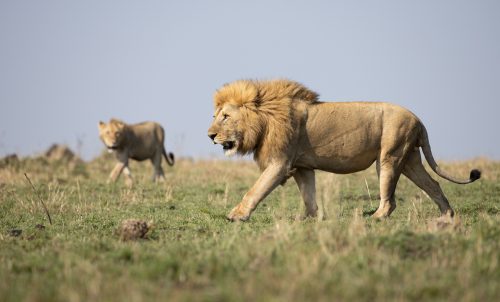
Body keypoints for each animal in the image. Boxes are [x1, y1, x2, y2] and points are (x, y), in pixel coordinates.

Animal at [207, 79, 480, 222]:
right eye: (216, 116)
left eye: (226, 117)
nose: (210, 136)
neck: (265, 118)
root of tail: (418, 118)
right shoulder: (302, 166)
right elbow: (308, 195)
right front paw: (311, 218)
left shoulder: (280, 163)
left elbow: (255, 190)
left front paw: (237, 215)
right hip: (410, 159)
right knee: (432, 184)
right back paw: (446, 216)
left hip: (389, 156)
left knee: (390, 199)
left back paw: (376, 217)